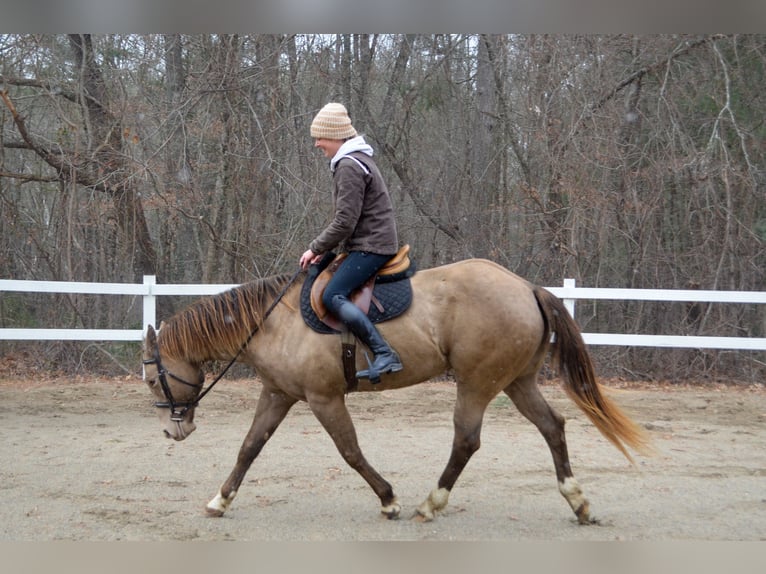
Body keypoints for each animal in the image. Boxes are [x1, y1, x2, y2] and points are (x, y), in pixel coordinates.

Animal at [141, 258, 650, 524]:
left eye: (150, 377)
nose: (171, 431)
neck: (273, 322)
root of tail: (525, 286)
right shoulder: (278, 394)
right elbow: (249, 447)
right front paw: (221, 499)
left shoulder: (324, 399)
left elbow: (349, 451)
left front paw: (388, 499)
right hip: (516, 382)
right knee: (552, 426)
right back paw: (577, 501)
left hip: (477, 383)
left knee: (466, 440)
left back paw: (431, 503)